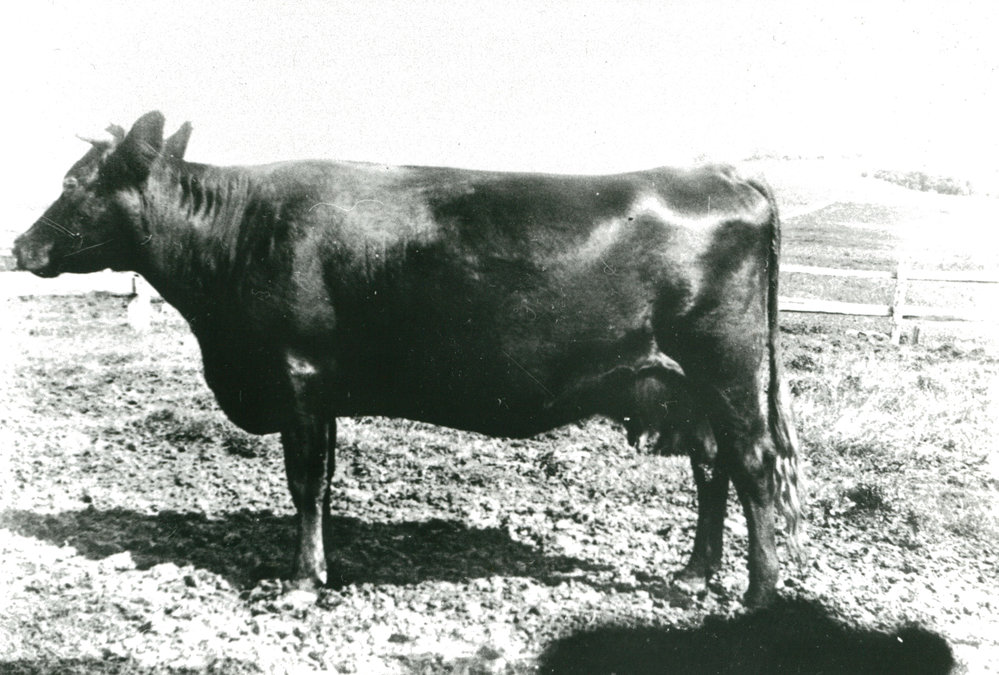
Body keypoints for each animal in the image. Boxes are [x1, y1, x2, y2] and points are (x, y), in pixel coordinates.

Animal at [14, 111, 801, 606]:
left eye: (73, 182)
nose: (20, 246)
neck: (242, 231)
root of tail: (725, 176)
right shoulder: (321, 389)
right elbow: (322, 481)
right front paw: (317, 567)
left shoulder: (297, 375)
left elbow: (304, 482)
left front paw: (302, 581)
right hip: (683, 386)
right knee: (712, 467)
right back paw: (695, 573)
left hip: (727, 371)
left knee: (752, 464)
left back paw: (758, 594)